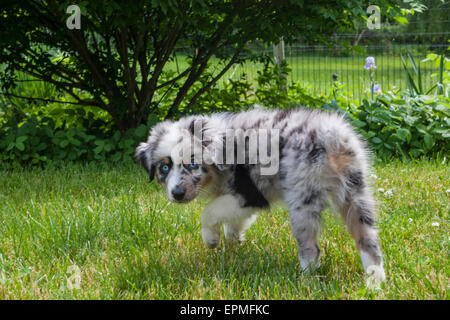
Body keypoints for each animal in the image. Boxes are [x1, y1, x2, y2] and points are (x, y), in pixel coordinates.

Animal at [135, 107, 384, 282]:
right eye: (164, 167)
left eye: (193, 164)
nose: (177, 194)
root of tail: (331, 136)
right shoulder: (246, 202)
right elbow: (232, 225)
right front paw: (234, 246)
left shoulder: (250, 195)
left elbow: (209, 211)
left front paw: (211, 239)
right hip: (355, 191)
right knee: (368, 240)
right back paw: (375, 283)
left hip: (303, 200)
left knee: (311, 248)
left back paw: (305, 280)